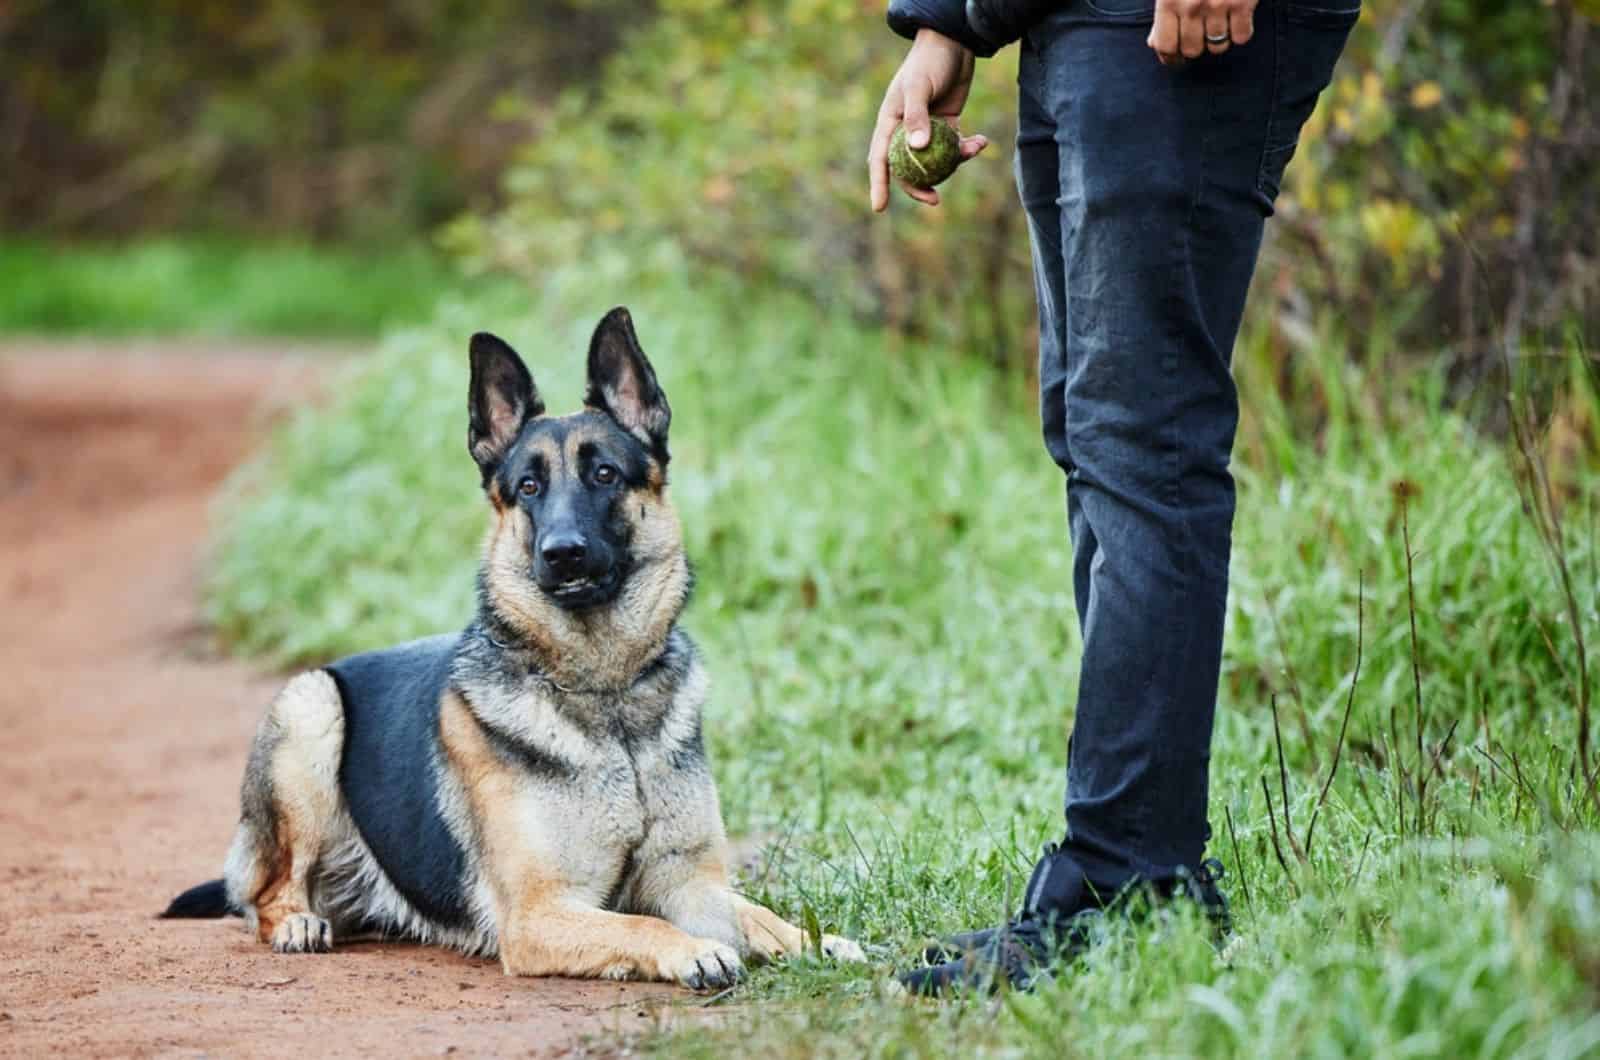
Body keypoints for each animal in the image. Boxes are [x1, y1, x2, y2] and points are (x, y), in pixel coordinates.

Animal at [164, 312, 864, 992]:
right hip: (311, 706)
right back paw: (296, 923)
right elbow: (643, 925)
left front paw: (817, 942)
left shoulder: (691, 881)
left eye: (604, 474)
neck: (605, 696)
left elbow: (760, 916)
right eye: (527, 486)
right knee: (266, 893)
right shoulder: (539, 914)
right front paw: (694, 951)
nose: (562, 552)